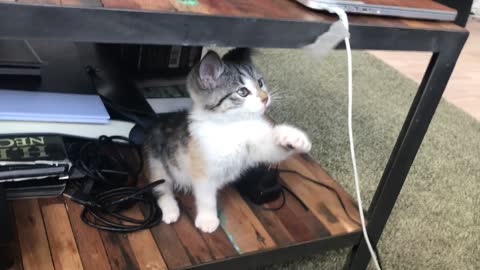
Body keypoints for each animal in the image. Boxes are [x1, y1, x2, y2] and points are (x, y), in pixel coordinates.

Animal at [142, 48, 312, 232]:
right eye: (242, 92)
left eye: (260, 83)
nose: (265, 98)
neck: (232, 125)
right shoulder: (203, 171)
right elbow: (206, 197)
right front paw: (207, 220)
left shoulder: (254, 146)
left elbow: (272, 150)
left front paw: (294, 137)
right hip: (157, 163)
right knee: (160, 187)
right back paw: (170, 210)